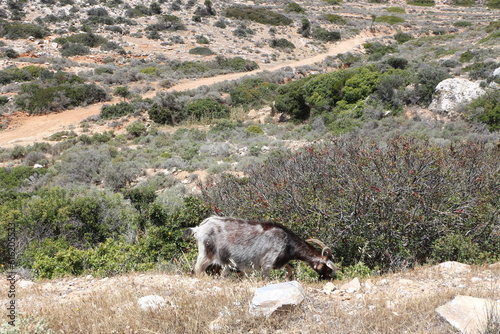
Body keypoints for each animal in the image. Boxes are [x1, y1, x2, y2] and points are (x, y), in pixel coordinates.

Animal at [182, 217, 338, 280]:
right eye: (328, 266)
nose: (330, 278)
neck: (287, 242)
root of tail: (199, 228)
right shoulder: (267, 263)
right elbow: (264, 278)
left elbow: (290, 269)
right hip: (206, 254)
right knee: (197, 270)